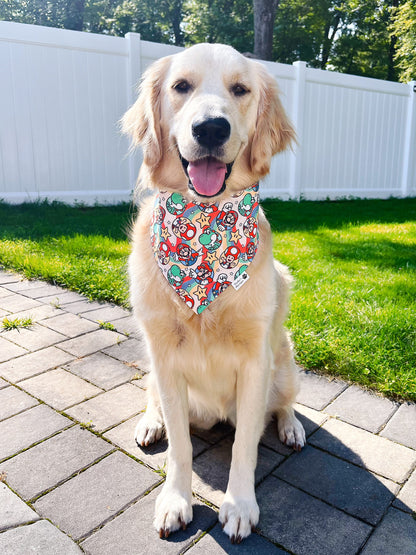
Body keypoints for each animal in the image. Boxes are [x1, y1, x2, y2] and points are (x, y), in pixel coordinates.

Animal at [122, 42, 304, 544]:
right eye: (181, 86)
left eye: (240, 89)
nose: (210, 128)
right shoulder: (164, 356)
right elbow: (180, 447)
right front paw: (175, 501)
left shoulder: (256, 360)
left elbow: (245, 444)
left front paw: (239, 505)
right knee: (154, 400)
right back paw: (151, 422)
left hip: (284, 363)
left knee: (283, 404)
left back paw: (292, 427)